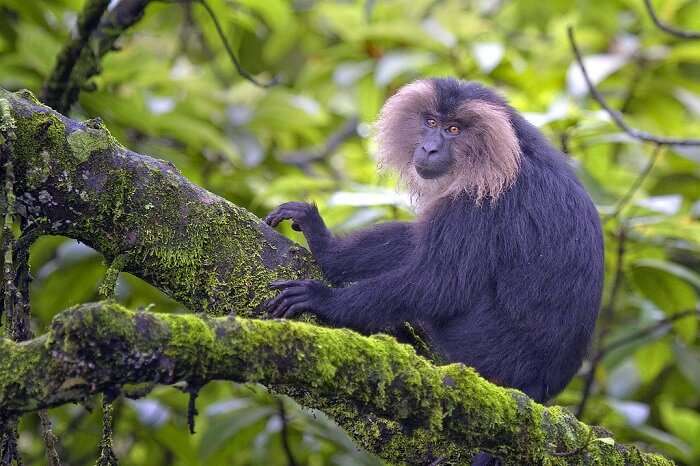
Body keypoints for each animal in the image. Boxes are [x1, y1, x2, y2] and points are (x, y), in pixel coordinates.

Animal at [266, 78, 604, 424]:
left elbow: (440, 286)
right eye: (430, 123)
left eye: (453, 129)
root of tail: (540, 387)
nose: (430, 148)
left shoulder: (481, 198)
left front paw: (324, 300)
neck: (515, 152)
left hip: (482, 345)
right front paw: (324, 246)